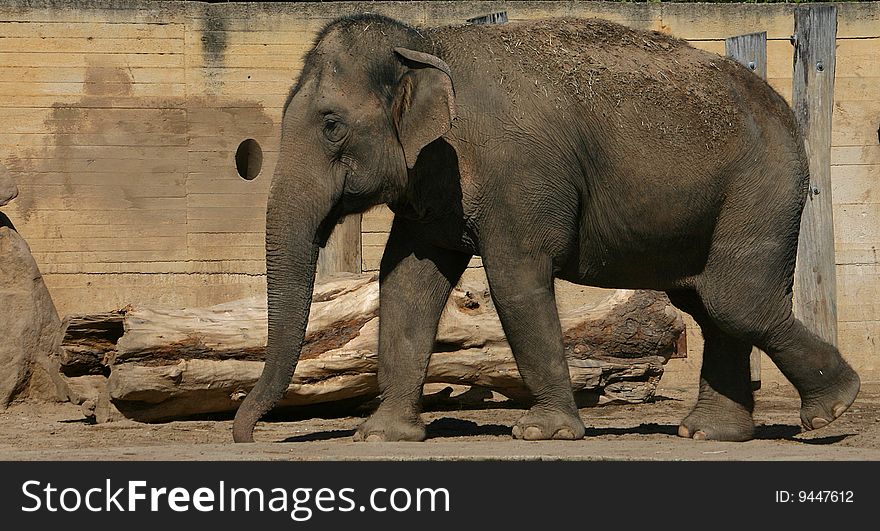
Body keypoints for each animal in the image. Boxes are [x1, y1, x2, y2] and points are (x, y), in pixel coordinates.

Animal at [232, 14, 860, 442]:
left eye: (331, 125)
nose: (246, 434)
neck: (426, 42)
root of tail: (785, 112)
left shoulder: (519, 174)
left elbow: (515, 278)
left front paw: (543, 431)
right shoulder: (434, 185)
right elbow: (407, 283)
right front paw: (382, 436)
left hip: (763, 186)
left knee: (735, 299)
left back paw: (831, 409)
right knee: (706, 301)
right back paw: (708, 432)